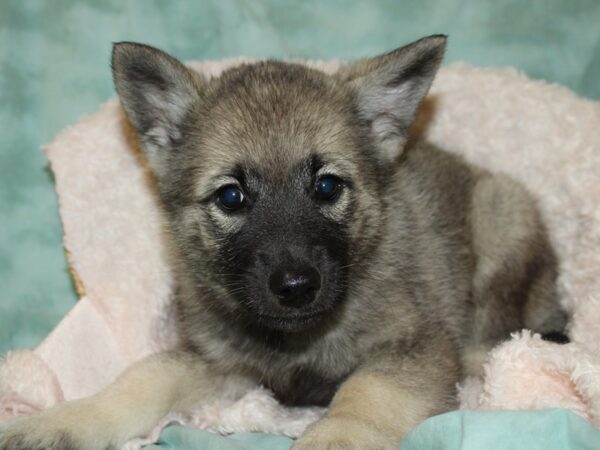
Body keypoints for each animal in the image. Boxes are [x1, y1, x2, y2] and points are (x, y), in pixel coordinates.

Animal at [0, 36, 568, 450]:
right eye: (231, 196)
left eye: (327, 187)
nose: (296, 286)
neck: (297, 343)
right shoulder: (216, 364)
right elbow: (141, 379)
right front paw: (62, 421)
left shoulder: (413, 349)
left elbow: (365, 395)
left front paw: (333, 438)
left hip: (502, 214)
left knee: (500, 341)